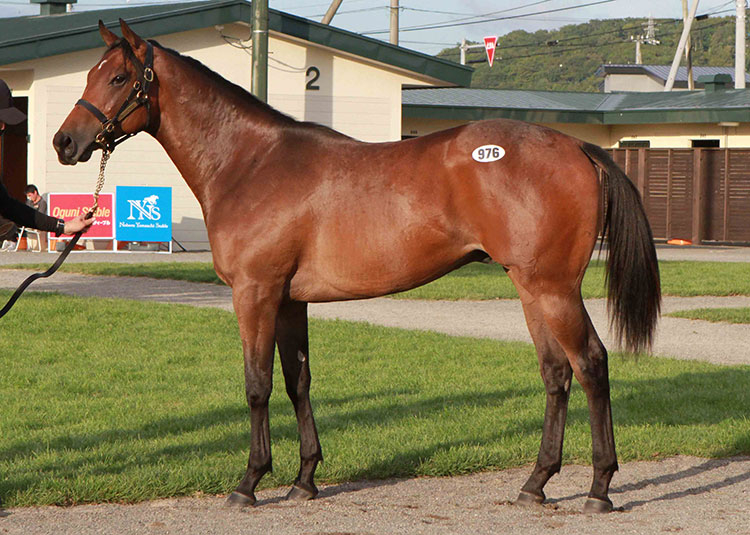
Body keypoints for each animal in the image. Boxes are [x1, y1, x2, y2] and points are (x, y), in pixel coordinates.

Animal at [53, 19, 660, 513]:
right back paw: (535, 485)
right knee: (556, 374)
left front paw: (249, 483)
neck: (250, 162)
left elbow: (257, 385)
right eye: (90, 73)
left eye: (116, 78)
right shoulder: (290, 300)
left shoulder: (255, 293)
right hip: (531, 289)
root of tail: (579, 148)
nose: (65, 142)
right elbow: (297, 381)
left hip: (553, 288)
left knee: (591, 364)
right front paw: (304, 480)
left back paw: (599, 488)